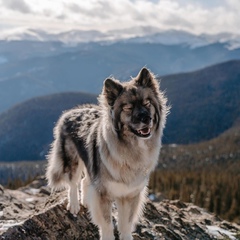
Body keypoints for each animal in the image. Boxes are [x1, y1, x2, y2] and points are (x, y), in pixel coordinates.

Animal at [46, 67, 168, 240]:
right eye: (128, 107)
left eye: (147, 103)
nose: (146, 118)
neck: (131, 149)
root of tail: (69, 112)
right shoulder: (103, 194)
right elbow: (107, 225)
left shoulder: (130, 195)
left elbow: (125, 225)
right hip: (72, 160)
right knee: (73, 183)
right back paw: (75, 205)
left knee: (85, 181)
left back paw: (85, 201)